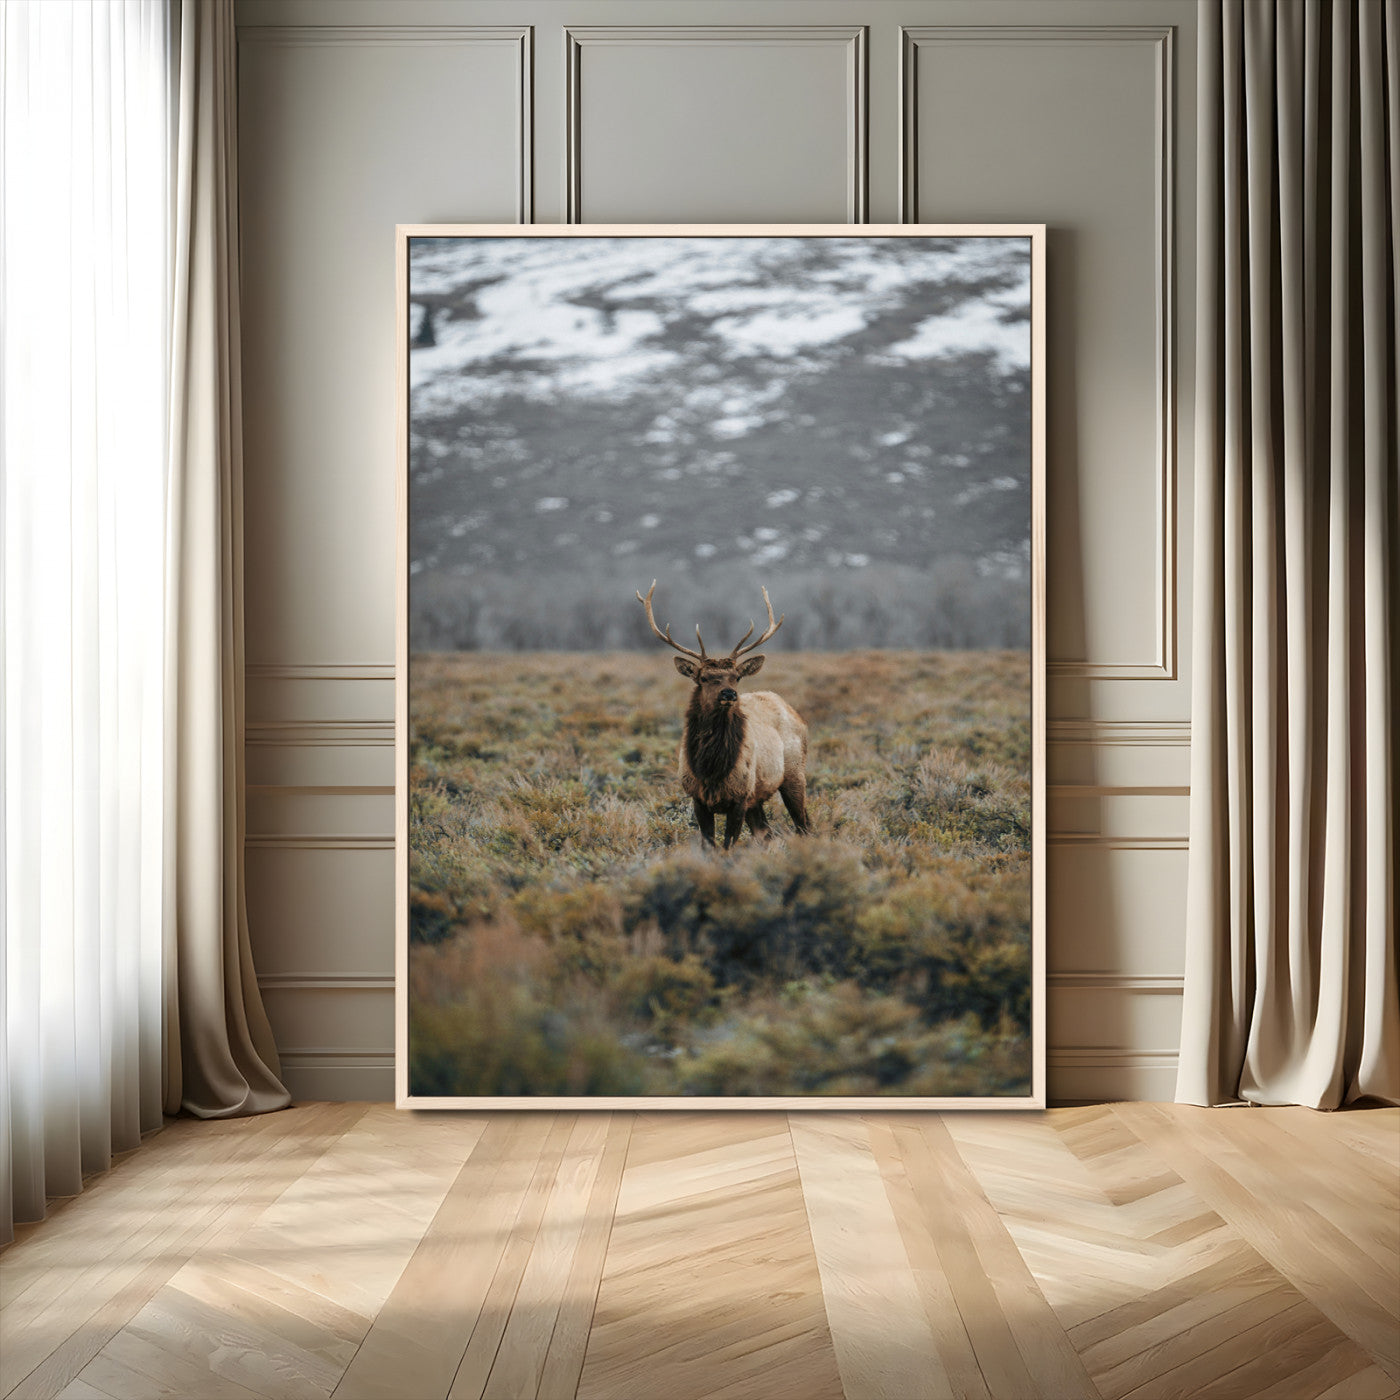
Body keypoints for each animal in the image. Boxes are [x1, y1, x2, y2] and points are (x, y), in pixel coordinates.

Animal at [636, 581, 810, 849]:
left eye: (736, 677)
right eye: (704, 678)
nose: (729, 693)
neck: (711, 770)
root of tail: (792, 711)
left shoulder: (740, 797)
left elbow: (727, 846)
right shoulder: (697, 798)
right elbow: (710, 846)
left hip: (794, 773)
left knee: (804, 825)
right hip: (758, 797)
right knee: (766, 832)